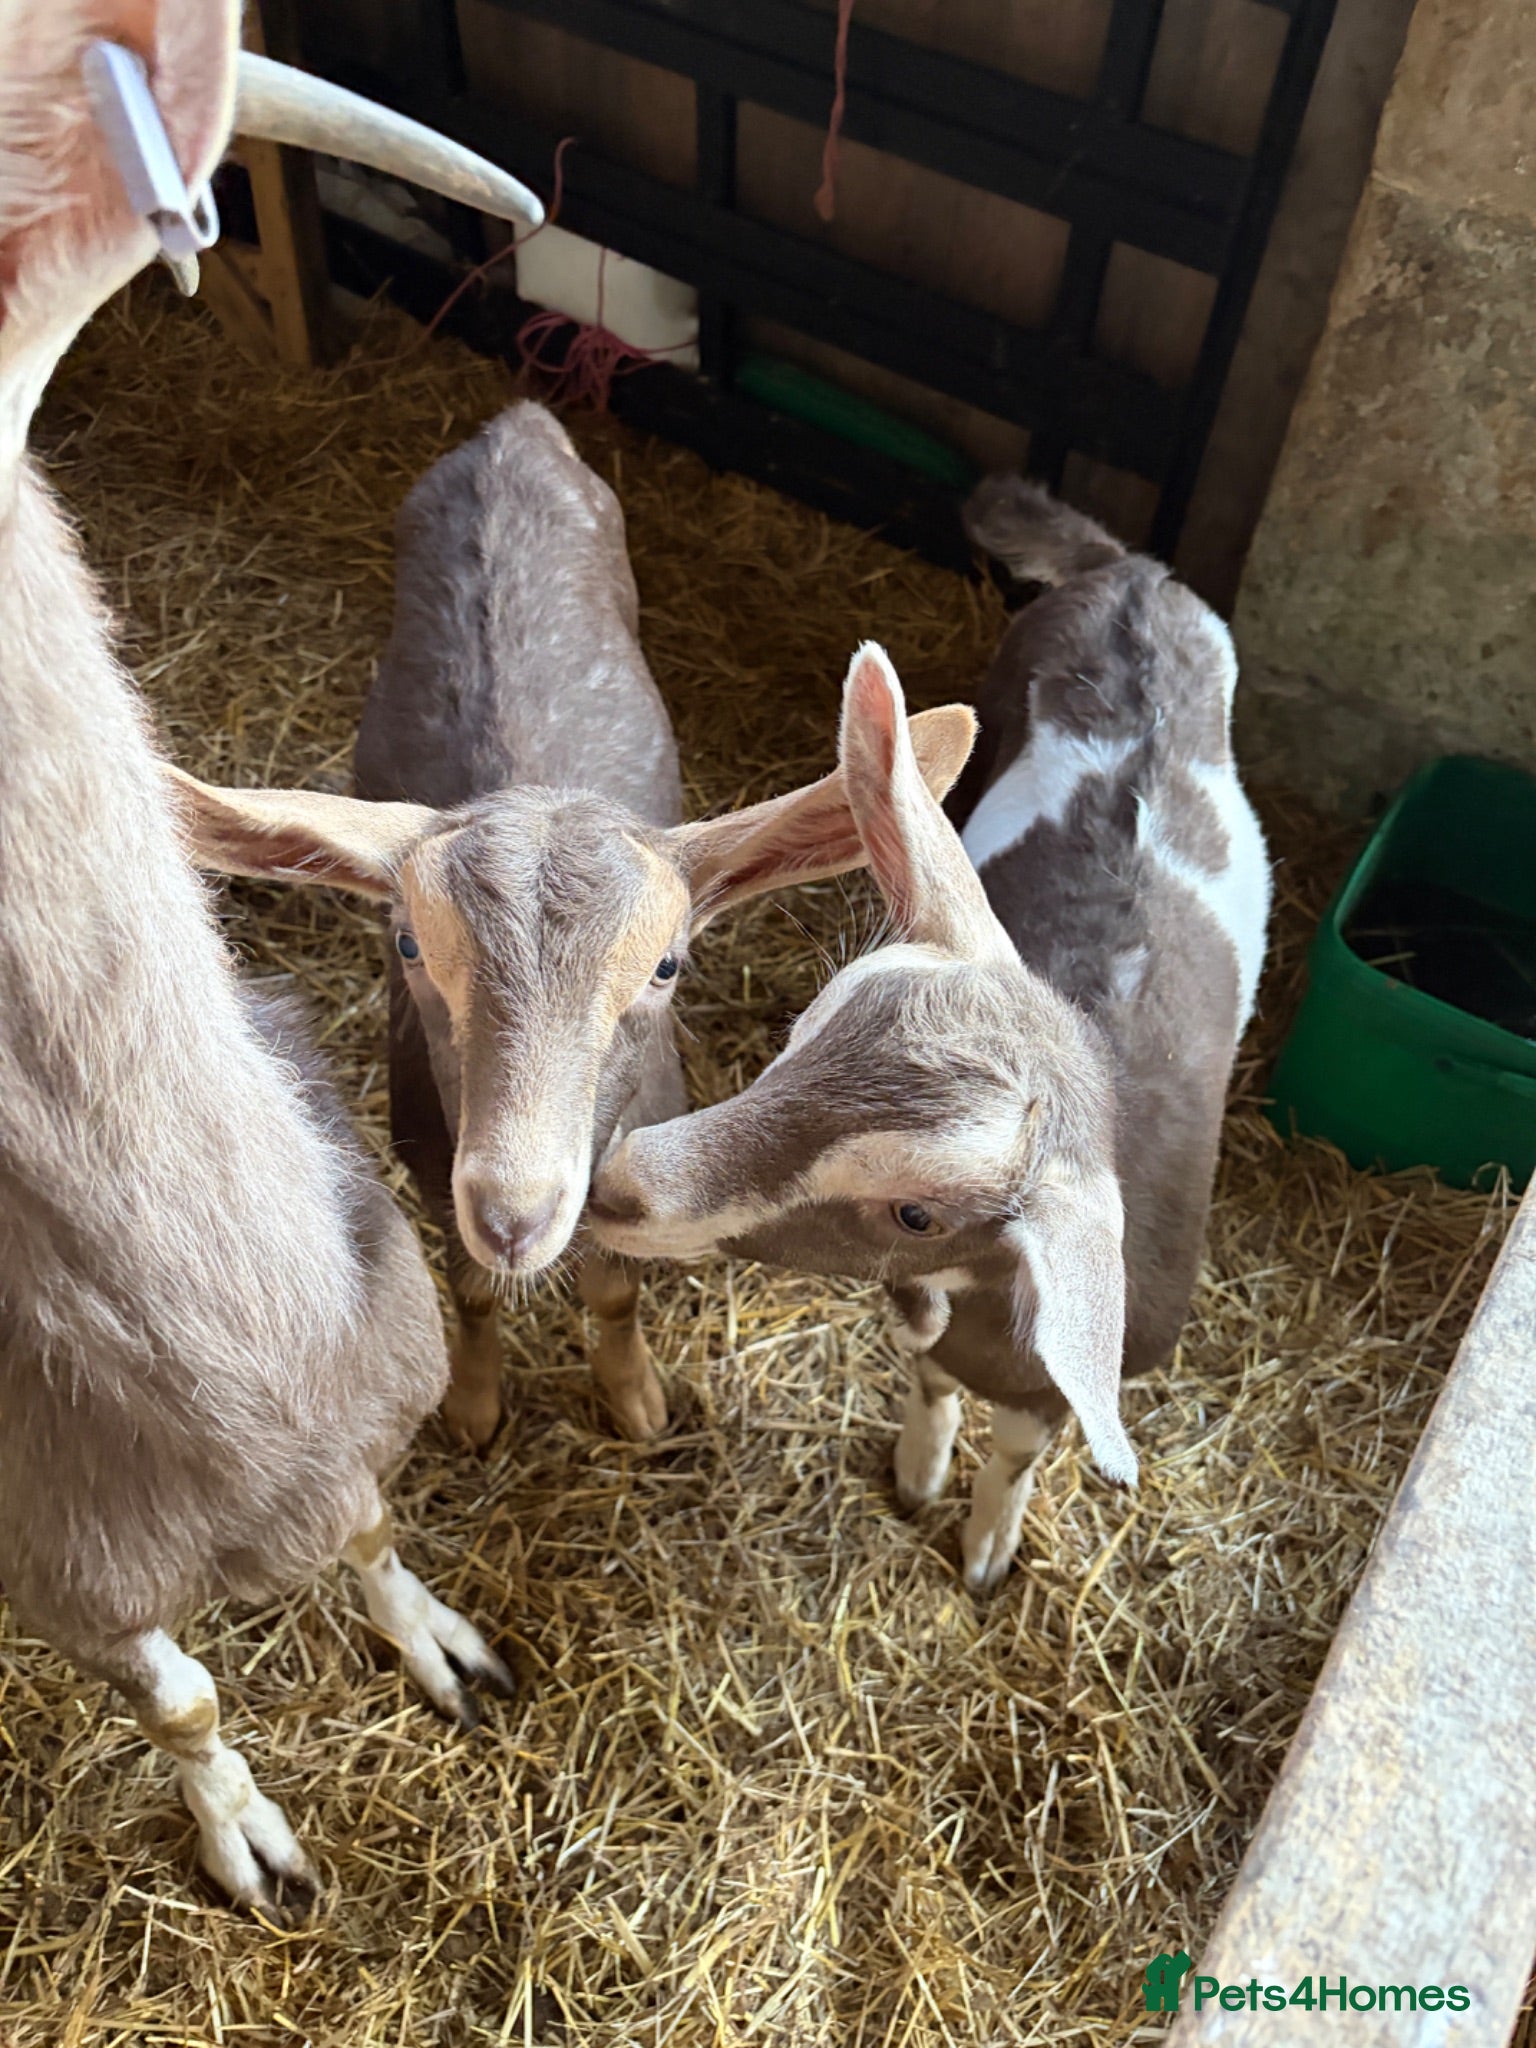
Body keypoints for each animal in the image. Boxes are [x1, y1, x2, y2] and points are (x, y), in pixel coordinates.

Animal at [0, 0, 556, 1910]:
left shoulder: (380, 1383)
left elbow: (380, 1527)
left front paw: (453, 1653)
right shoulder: (68, 1578)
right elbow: (178, 1698)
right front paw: (253, 1850)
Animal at [171, 405, 978, 1447]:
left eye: (667, 966)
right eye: (408, 945)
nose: (515, 1214)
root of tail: (515, 427)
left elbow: (613, 1290)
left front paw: (635, 1399)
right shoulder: (432, 1167)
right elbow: (471, 1293)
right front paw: (475, 1407)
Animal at [589, 483, 1271, 1591]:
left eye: (916, 1213)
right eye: (800, 1036)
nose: (617, 1185)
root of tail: (1132, 573)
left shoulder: (1049, 1377)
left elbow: (1019, 1447)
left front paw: (988, 1547)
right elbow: (931, 1380)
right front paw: (919, 1472)